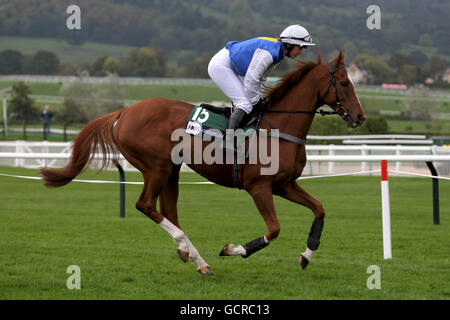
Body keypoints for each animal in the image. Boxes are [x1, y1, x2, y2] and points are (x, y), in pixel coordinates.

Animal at [40, 50, 366, 276]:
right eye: (344, 82)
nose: (361, 117)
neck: (279, 128)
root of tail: (126, 111)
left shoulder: (284, 185)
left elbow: (319, 209)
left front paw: (306, 255)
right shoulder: (259, 187)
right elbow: (273, 229)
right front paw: (233, 249)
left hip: (171, 171)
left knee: (168, 211)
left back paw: (194, 258)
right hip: (156, 167)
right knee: (146, 206)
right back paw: (191, 251)